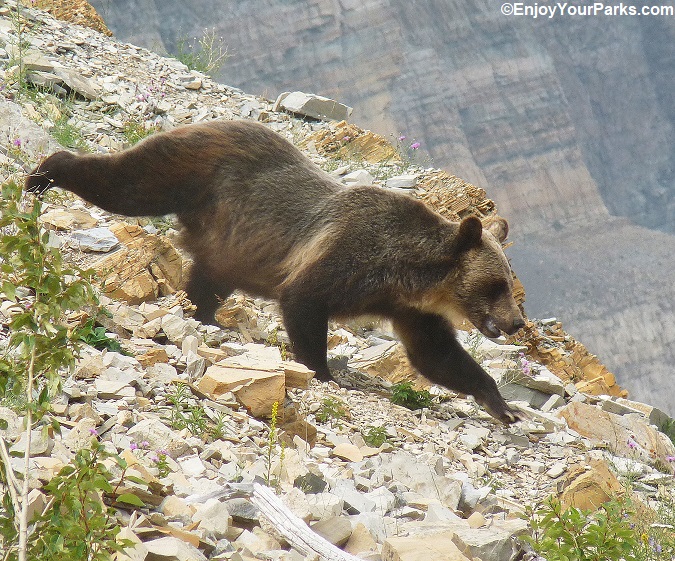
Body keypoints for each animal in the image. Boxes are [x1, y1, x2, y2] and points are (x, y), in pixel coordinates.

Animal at [26, 120, 524, 422]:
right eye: (497, 285)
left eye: (511, 287)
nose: (517, 322)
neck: (407, 274)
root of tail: (208, 121)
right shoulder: (346, 256)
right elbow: (304, 299)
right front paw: (321, 370)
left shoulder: (410, 309)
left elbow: (435, 354)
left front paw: (501, 404)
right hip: (190, 170)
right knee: (126, 183)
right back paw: (43, 175)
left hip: (226, 241)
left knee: (207, 278)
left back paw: (204, 316)